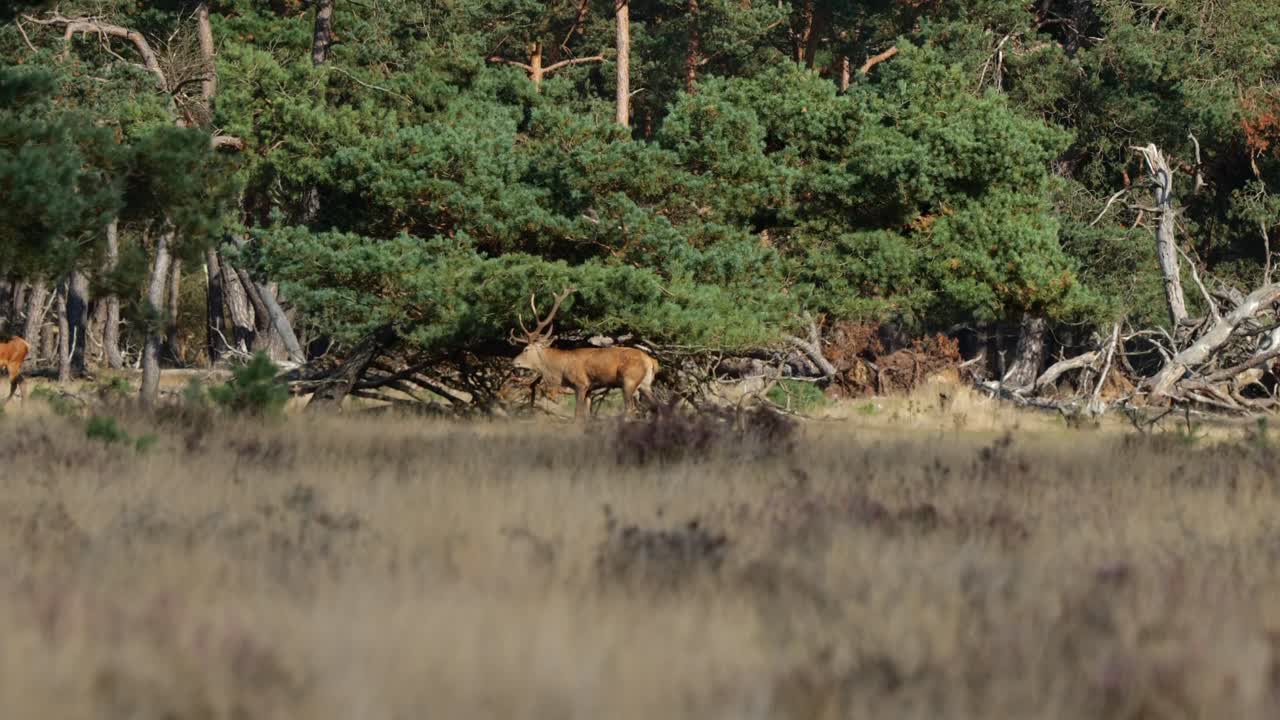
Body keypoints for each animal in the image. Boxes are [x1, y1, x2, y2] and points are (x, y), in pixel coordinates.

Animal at [510, 288, 659, 420]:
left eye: (526, 349)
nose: (514, 362)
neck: (561, 370)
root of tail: (651, 361)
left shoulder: (581, 384)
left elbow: (578, 415)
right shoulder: (589, 389)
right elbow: (587, 417)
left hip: (629, 380)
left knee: (630, 409)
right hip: (645, 384)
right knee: (656, 406)